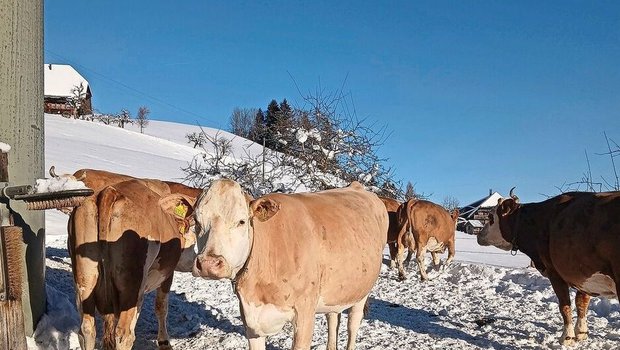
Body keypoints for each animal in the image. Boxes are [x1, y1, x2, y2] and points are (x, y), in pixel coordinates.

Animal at [193, 180, 388, 350]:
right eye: (196, 221)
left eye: (241, 221)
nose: (209, 263)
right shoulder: (250, 319)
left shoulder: (305, 314)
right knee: (333, 319)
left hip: (362, 292)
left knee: (352, 325)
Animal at [480, 189, 620, 344]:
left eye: (490, 216)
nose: (479, 235)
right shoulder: (581, 273)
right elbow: (581, 302)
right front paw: (581, 332)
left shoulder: (555, 272)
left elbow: (565, 305)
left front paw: (567, 337)